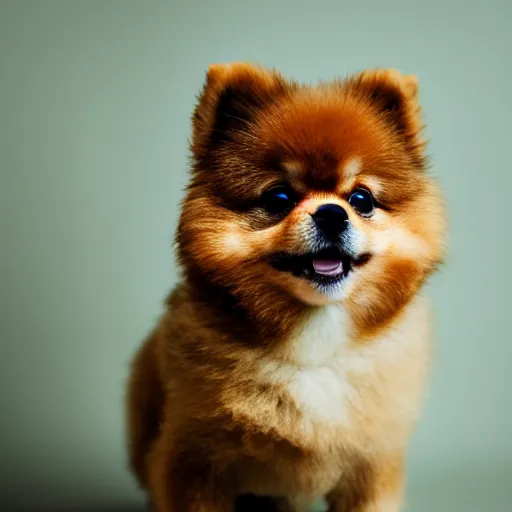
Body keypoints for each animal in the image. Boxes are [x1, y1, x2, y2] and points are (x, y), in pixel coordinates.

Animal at [126, 64, 446, 512]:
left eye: (361, 199)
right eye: (279, 197)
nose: (332, 214)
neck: (314, 347)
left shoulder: (371, 466)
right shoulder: (193, 462)